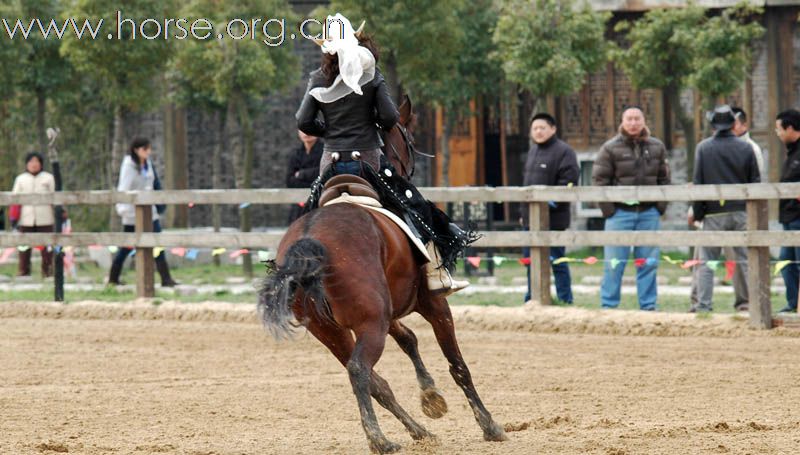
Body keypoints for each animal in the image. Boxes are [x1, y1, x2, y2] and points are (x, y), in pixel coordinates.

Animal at [256, 95, 506, 452]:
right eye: (409, 139)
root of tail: (309, 242)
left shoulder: (388, 311)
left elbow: (409, 338)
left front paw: (430, 395)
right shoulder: (432, 304)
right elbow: (457, 365)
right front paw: (488, 424)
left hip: (331, 330)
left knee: (373, 379)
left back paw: (417, 431)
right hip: (369, 324)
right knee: (360, 370)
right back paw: (380, 439)